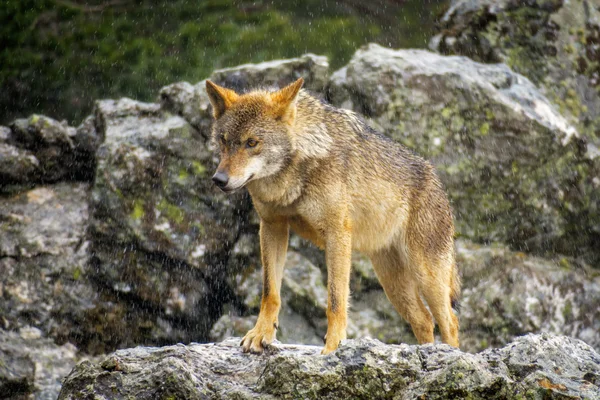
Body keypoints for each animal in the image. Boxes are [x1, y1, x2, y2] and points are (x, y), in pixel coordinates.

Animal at [205, 76, 460, 354]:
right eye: (224, 141)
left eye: (252, 142)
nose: (219, 180)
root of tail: (437, 181)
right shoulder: (272, 226)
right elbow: (270, 292)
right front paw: (261, 334)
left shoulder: (337, 234)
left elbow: (335, 300)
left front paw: (334, 348)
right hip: (393, 284)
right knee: (424, 319)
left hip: (427, 276)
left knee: (450, 321)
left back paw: (449, 356)